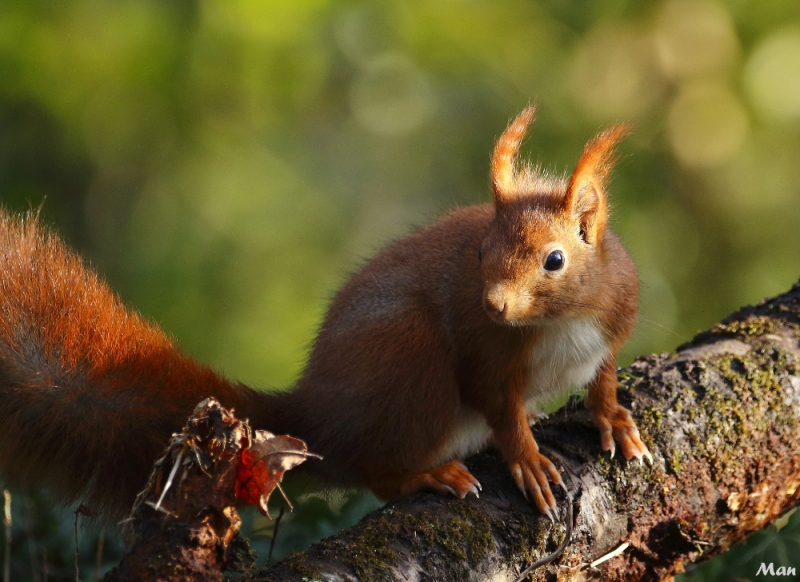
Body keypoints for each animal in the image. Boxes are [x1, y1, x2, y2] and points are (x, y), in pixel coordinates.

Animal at [0, 107, 648, 524]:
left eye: (555, 260)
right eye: (481, 254)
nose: (492, 305)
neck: (561, 323)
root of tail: (319, 415)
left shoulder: (612, 327)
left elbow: (603, 377)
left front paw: (614, 418)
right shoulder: (486, 358)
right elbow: (500, 407)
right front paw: (529, 461)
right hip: (410, 366)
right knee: (375, 472)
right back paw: (428, 475)